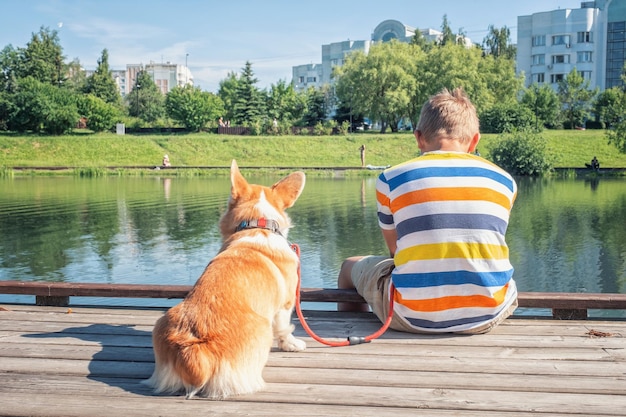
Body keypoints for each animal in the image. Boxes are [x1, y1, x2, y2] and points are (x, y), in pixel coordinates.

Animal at [142, 160, 308, 400]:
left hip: (162, 327)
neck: (258, 224)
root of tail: (194, 351)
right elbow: (285, 328)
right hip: (262, 331)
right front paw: (293, 345)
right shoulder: (285, 305)